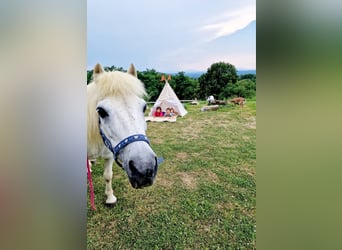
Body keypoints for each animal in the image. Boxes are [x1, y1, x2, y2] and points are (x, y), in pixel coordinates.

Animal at [87, 62, 158, 205]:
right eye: (101, 111)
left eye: (144, 107)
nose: (144, 169)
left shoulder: (109, 154)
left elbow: (108, 176)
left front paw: (110, 198)